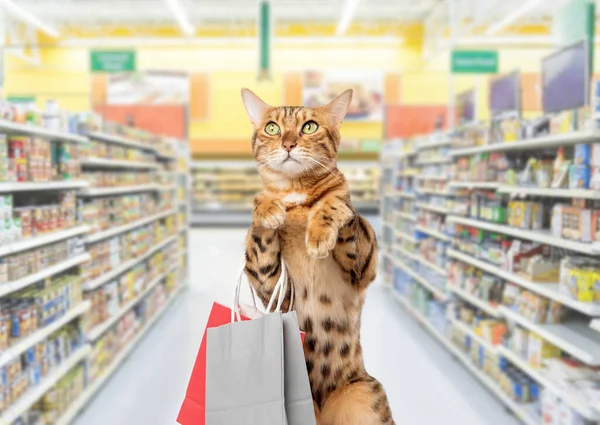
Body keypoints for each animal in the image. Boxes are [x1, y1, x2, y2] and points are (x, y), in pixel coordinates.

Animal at [241, 87, 396, 424]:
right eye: (272, 127)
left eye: (309, 127)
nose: (288, 143)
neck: (295, 195)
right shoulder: (274, 288)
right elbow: (260, 221)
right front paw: (267, 208)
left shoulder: (364, 266)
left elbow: (339, 203)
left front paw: (320, 232)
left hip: (366, 396)